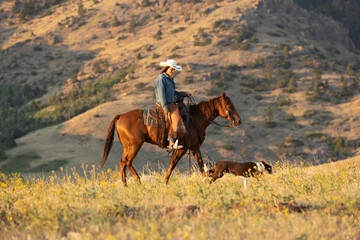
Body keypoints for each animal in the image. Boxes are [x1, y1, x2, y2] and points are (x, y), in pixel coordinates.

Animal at [100, 92, 240, 186]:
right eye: (229, 106)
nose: (239, 121)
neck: (195, 118)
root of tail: (121, 116)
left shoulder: (194, 148)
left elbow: (201, 165)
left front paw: (206, 181)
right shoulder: (182, 148)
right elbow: (173, 163)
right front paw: (165, 181)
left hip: (128, 146)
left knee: (123, 162)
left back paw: (126, 184)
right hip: (135, 145)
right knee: (127, 161)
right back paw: (137, 182)